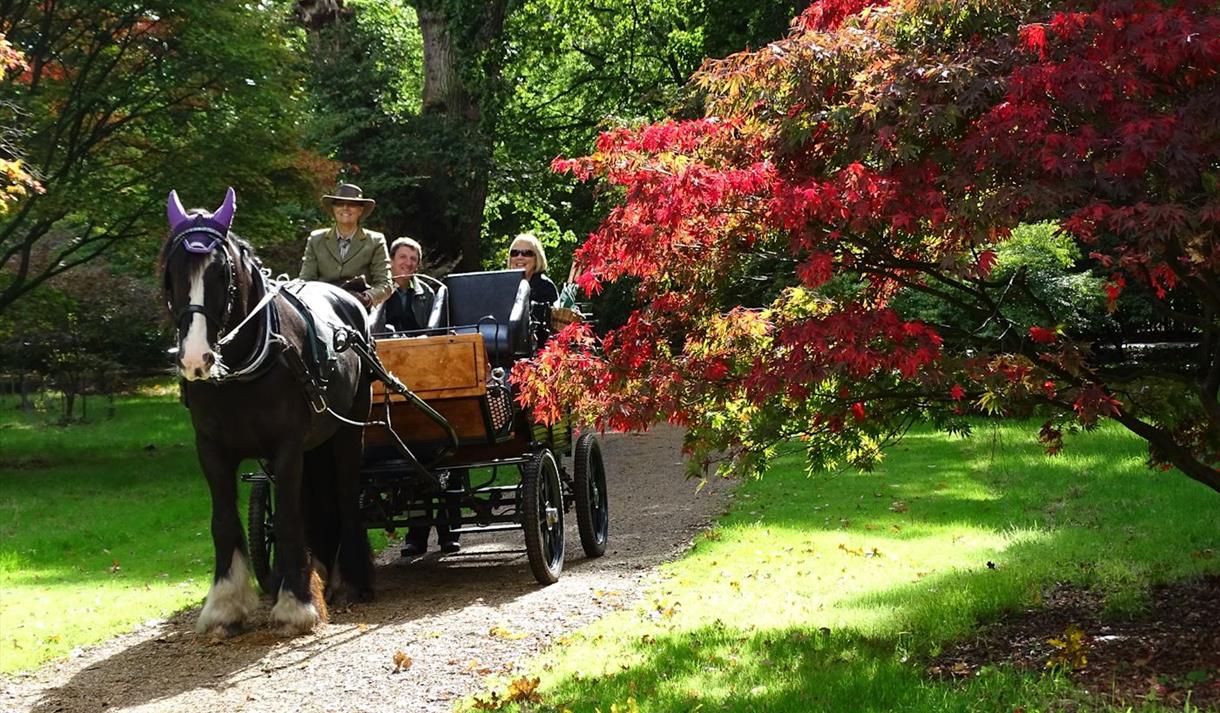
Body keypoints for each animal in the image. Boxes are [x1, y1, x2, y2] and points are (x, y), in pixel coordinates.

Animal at [159, 188, 373, 634]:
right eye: (172, 271)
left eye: (221, 273)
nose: (195, 358)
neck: (241, 369)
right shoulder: (211, 450)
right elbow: (225, 521)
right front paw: (226, 605)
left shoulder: (286, 447)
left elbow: (289, 517)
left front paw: (296, 605)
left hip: (349, 428)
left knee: (346, 494)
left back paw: (349, 580)